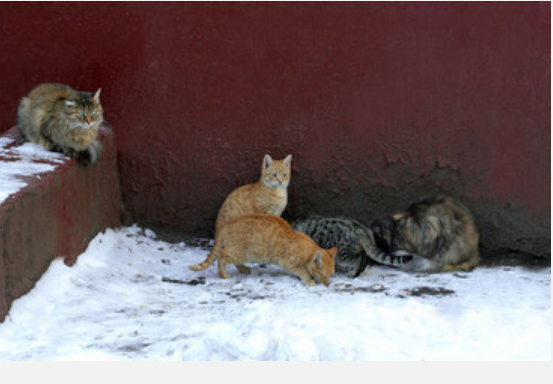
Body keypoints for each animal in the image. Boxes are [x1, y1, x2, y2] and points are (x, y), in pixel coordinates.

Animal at [189, 214, 336, 286]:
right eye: (324, 276)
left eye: (330, 275)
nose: (327, 283)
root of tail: (225, 226)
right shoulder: (287, 262)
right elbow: (303, 271)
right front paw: (309, 280)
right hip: (240, 252)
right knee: (222, 256)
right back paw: (223, 274)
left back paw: (243, 269)